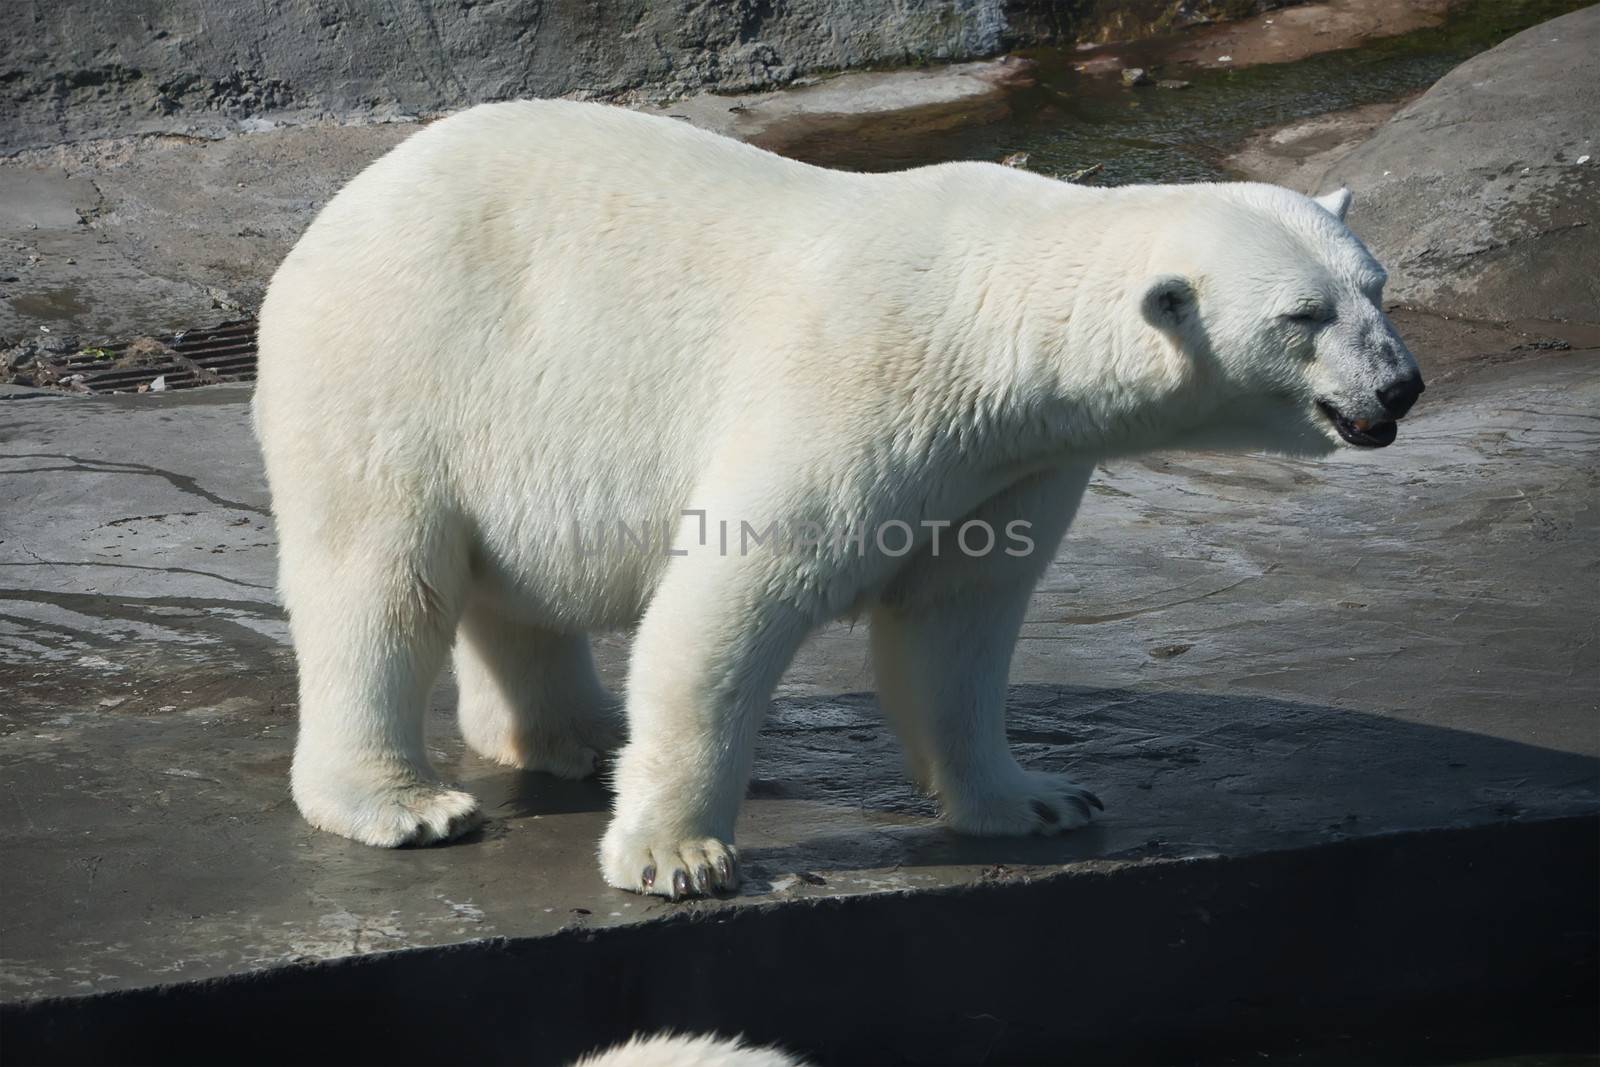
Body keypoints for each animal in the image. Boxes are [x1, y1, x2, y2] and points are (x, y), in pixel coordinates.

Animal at [249, 99, 1427, 902]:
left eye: (1376, 288)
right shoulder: (853, 385)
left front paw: (1036, 800)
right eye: (1302, 315)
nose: (1399, 385)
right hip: (395, 363)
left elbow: (956, 626)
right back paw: (402, 803)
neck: (991, 317)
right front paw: (676, 854)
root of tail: (340, 208)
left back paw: (576, 734)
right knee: (379, 581)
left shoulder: (1006, 463)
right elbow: (727, 605)